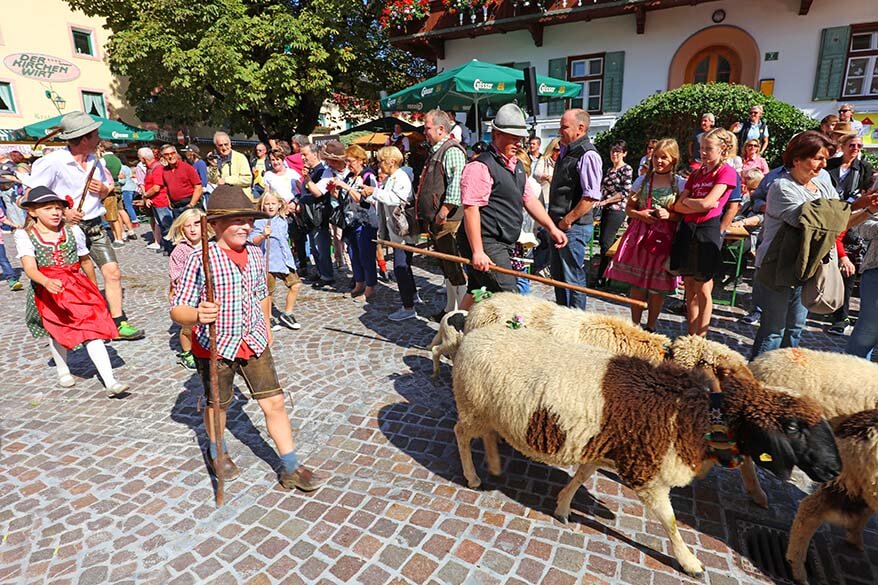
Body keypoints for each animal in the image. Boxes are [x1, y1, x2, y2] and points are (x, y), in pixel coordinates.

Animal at [458, 326, 844, 576]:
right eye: (792, 428)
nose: (834, 470)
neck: (690, 413)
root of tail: (470, 337)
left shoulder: (607, 448)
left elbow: (582, 475)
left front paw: (563, 506)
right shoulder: (645, 472)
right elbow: (670, 522)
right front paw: (691, 563)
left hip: (489, 411)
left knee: (487, 435)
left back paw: (494, 466)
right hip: (473, 407)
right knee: (462, 434)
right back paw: (473, 477)